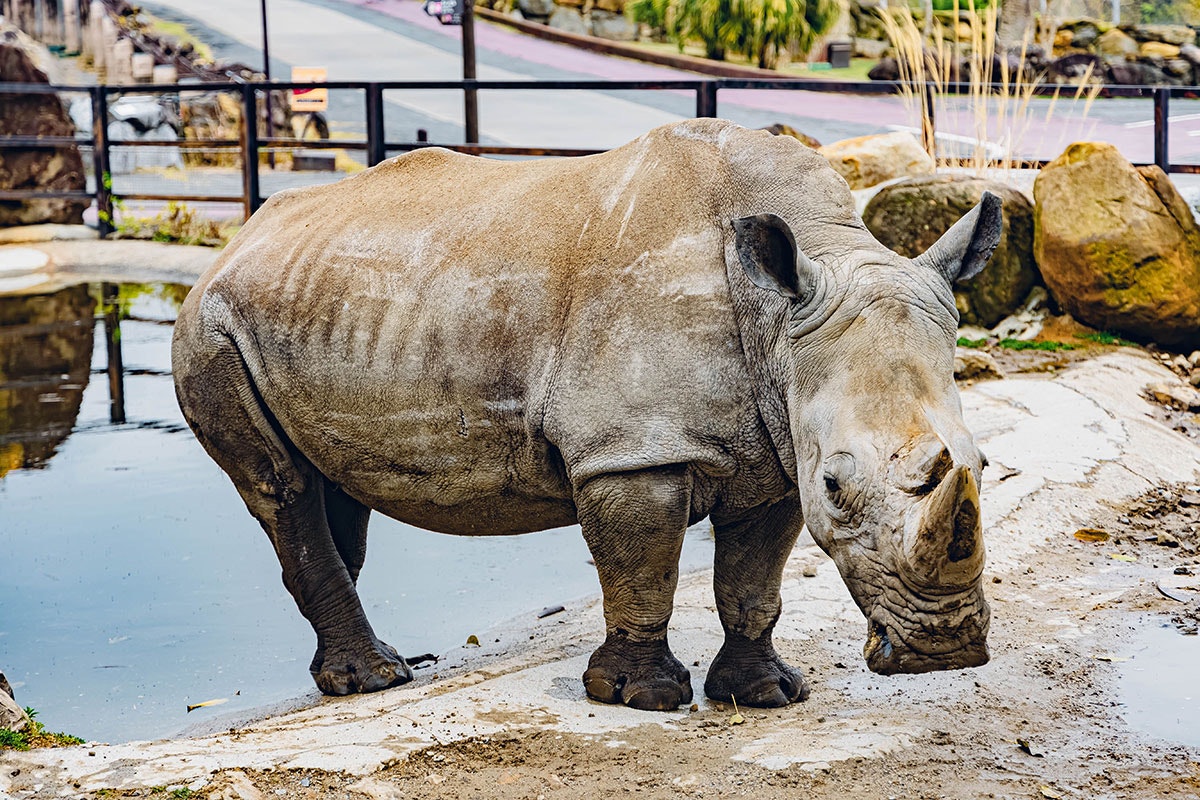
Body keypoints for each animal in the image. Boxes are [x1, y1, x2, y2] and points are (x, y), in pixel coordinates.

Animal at [172, 119, 998, 711]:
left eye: (982, 465)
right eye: (836, 487)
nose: (944, 650)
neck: (783, 319)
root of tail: (236, 237)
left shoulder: (776, 446)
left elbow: (753, 579)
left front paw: (767, 694)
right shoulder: (630, 450)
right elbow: (643, 566)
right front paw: (640, 697)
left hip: (314, 302)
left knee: (333, 486)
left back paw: (371, 669)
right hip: (211, 328)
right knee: (280, 487)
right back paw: (374, 680)